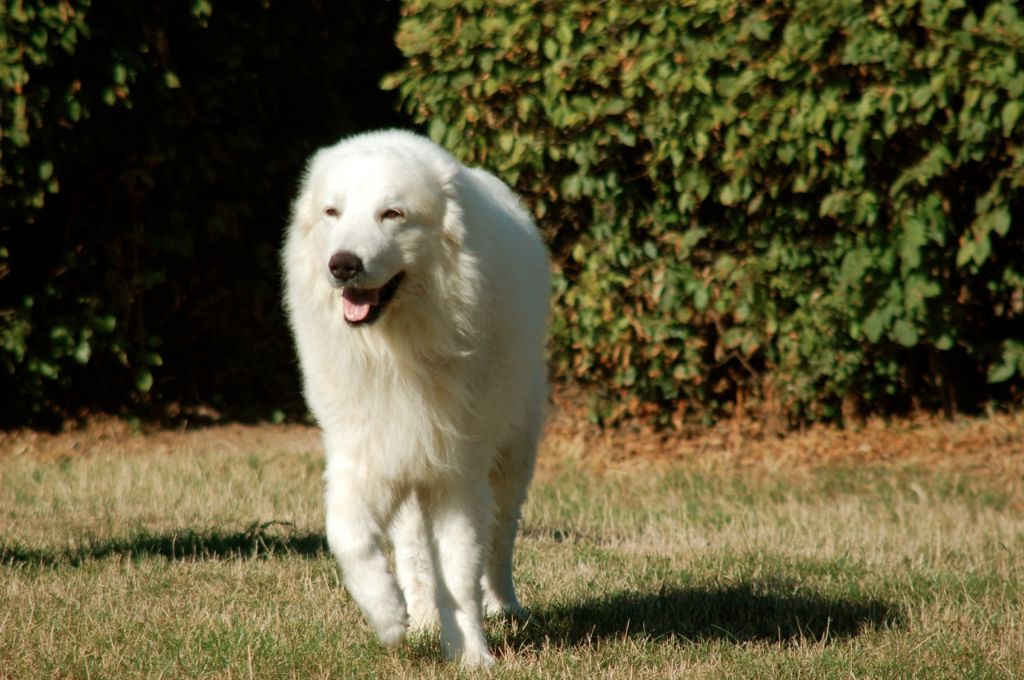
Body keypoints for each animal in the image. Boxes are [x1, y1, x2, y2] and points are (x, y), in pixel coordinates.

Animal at [280, 130, 552, 667]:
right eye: (332, 213)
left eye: (392, 214)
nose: (342, 265)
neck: (396, 347)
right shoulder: (367, 456)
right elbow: (346, 536)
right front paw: (388, 616)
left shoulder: (458, 476)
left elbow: (462, 574)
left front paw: (472, 657)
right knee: (414, 555)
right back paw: (421, 617)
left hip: (512, 459)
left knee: (500, 541)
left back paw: (507, 608)